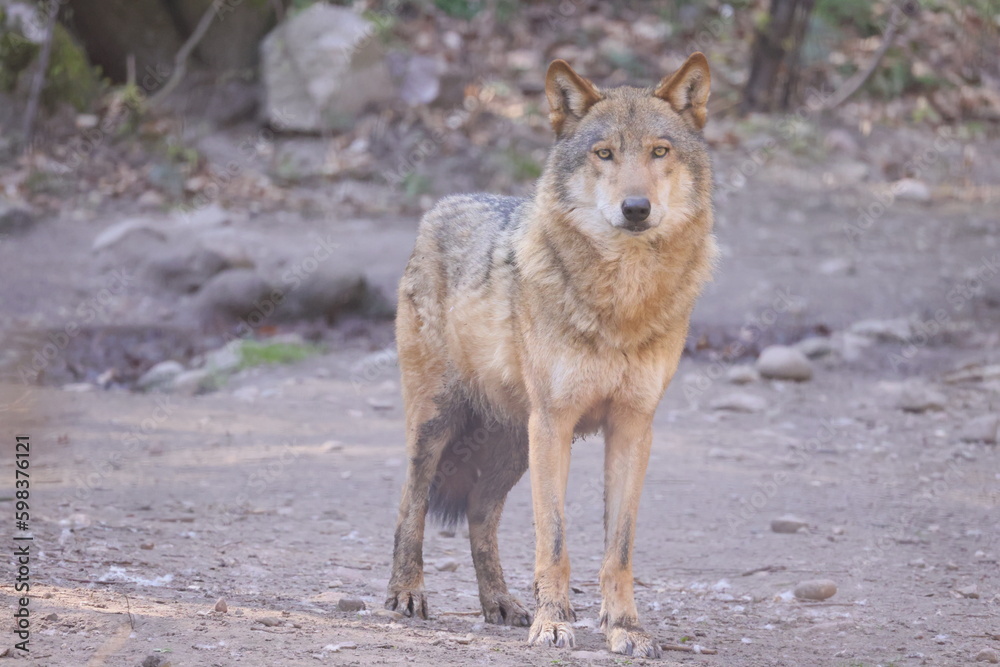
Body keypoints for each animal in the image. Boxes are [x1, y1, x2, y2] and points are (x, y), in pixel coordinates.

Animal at [385, 53, 717, 658]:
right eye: (604, 153)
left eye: (659, 152)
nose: (637, 208)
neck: (622, 302)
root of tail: (441, 205)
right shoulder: (556, 423)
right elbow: (554, 544)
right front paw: (555, 624)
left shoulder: (633, 427)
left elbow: (619, 551)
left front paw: (626, 629)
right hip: (442, 423)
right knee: (410, 502)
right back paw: (406, 593)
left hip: (514, 443)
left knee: (479, 513)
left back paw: (500, 604)